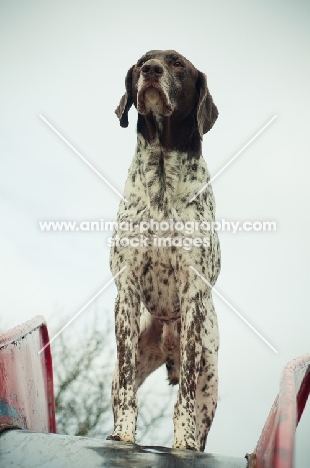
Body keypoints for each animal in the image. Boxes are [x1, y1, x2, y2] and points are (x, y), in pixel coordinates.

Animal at [106, 49, 220, 452]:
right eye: (142, 61)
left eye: (177, 65)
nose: (151, 71)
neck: (161, 177)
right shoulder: (126, 293)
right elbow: (127, 390)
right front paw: (123, 433)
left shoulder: (193, 295)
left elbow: (183, 400)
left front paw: (183, 440)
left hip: (209, 373)